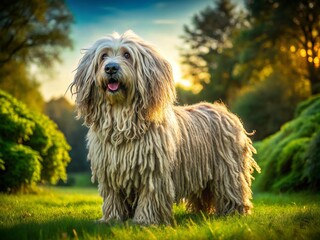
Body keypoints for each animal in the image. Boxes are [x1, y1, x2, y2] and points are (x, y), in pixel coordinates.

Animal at [70, 30, 260, 225]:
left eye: (127, 55)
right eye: (103, 56)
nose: (110, 68)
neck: (122, 119)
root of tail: (224, 111)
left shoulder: (153, 171)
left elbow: (150, 195)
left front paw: (144, 220)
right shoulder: (110, 171)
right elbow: (113, 196)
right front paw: (112, 219)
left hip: (228, 170)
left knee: (231, 188)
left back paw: (234, 212)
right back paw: (200, 212)